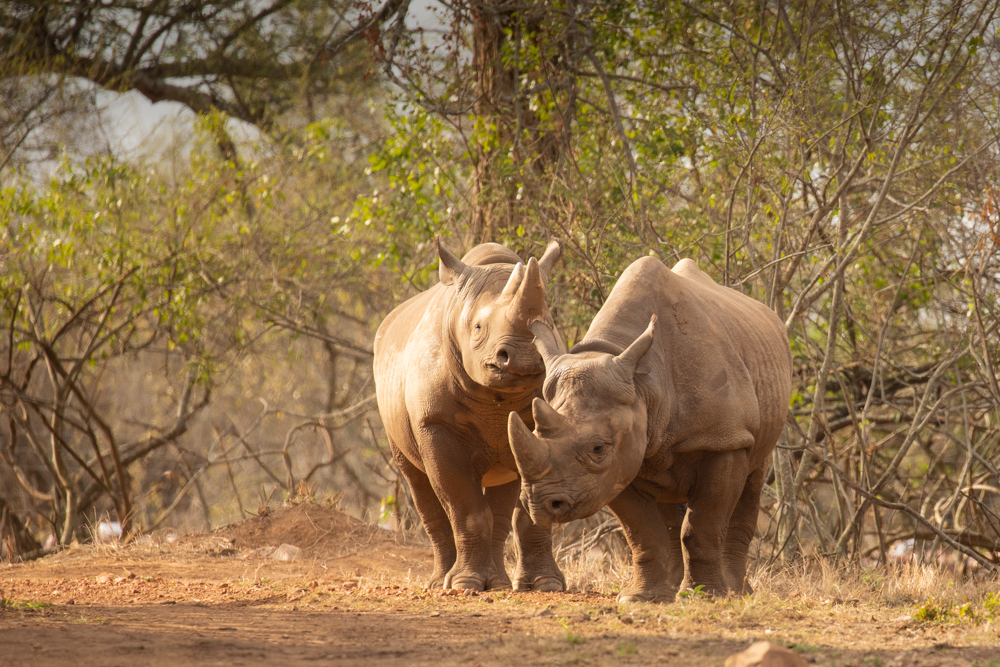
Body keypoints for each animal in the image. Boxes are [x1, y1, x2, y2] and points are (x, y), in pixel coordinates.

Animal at [374, 237, 568, 592]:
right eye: (478, 327)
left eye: (549, 326)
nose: (524, 358)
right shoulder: (435, 424)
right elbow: (465, 508)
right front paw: (465, 585)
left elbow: (530, 509)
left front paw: (546, 585)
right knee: (417, 482)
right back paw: (441, 582)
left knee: (502, 504)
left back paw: (500, 584)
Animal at [508, 258, 788, 604]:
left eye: (598, 448)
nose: (541, 505)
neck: (644, 385)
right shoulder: (621, 462)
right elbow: (642, 533)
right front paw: (640, 598)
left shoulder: (724, 439)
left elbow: (703, 526)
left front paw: (706, 597)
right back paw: (671, 591)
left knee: (753, 477)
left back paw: (736, 593)